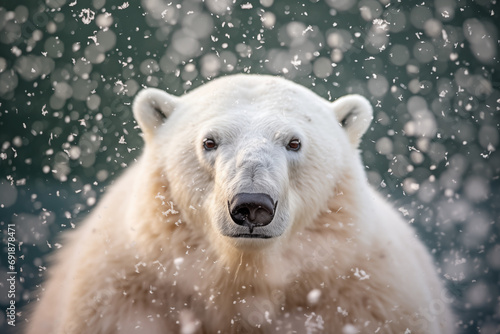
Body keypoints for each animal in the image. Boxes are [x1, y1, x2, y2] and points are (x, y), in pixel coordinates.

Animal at [25, 74, 456, 332]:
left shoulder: (362, 296)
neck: (244, 279)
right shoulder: (128, 294)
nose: (251, 205)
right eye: (209, 141)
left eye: (294, 142)